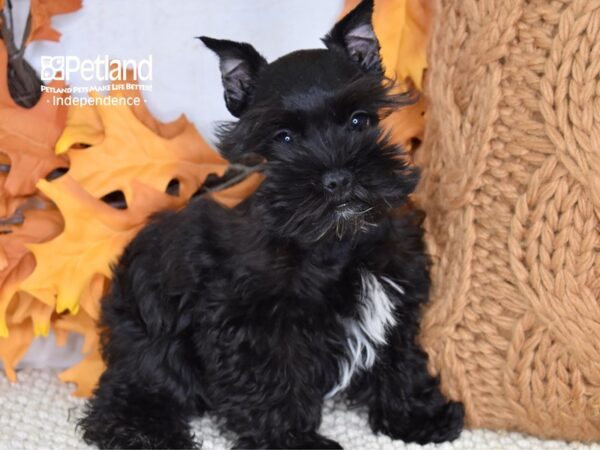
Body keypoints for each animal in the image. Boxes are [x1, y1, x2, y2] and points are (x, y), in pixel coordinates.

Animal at [78, 1, 464, 448]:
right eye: (283, 138)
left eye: (358, 121)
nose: (338, 178)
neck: (331, 242)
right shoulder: (251, 321)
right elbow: (271, 384)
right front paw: (292, 441)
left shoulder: (395, 286)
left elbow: (399, 357)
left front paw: (418, 415)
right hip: (152, 341)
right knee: (131, 391)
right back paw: (144, 433)